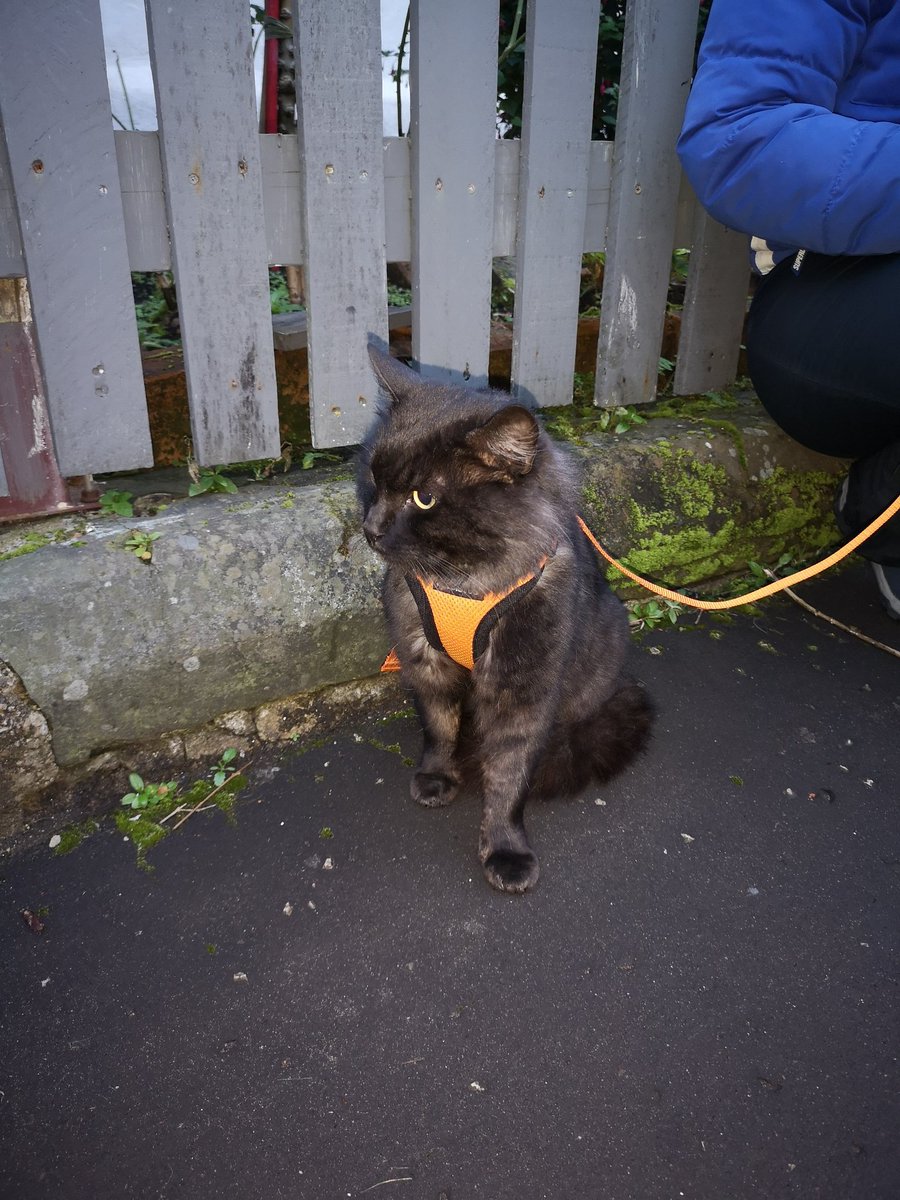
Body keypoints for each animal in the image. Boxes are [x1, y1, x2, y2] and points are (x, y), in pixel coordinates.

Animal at [360, 345, 657, 892]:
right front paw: (438, 776)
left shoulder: (521, 688)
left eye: (424, 498)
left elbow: (508, 774)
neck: (464, 583)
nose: (369, 528)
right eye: (375, 478)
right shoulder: (426, 660)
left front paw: (505, 850)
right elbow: (440, 729)